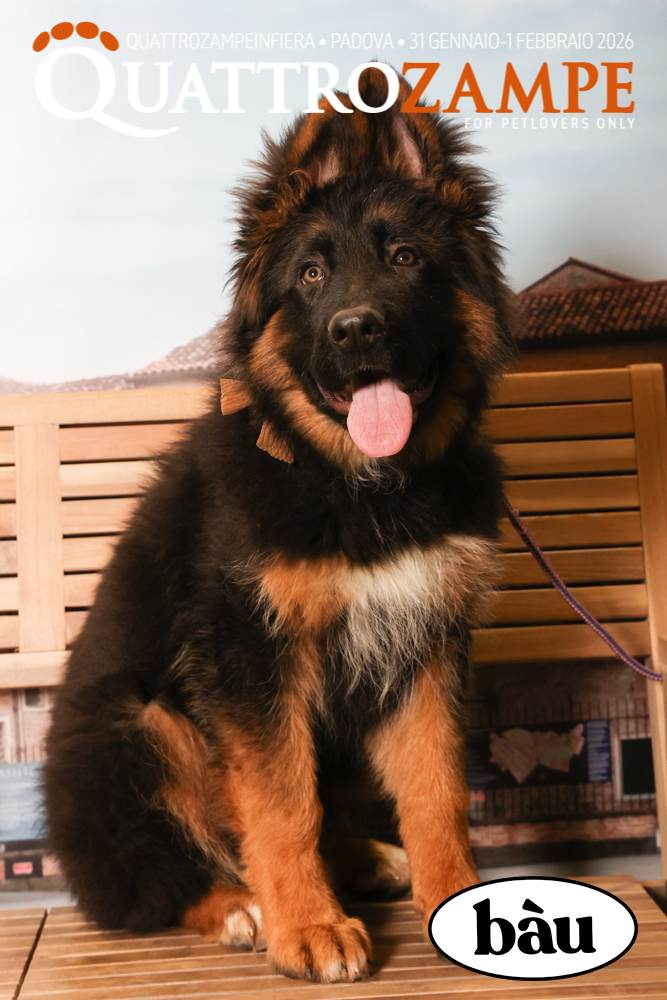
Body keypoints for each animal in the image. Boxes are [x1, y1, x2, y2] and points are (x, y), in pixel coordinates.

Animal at [44, 69, 515, 982]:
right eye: (310, 275)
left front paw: (451, 897)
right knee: (143, 886)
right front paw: (308, 925)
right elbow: (279, 799)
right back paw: (240, 906)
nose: (356, 329)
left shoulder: (425, 643)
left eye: (405, 259)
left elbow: (435, 787)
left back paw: (365, 859)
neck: (357, 482)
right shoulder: (248, 654)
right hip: (137, 719)